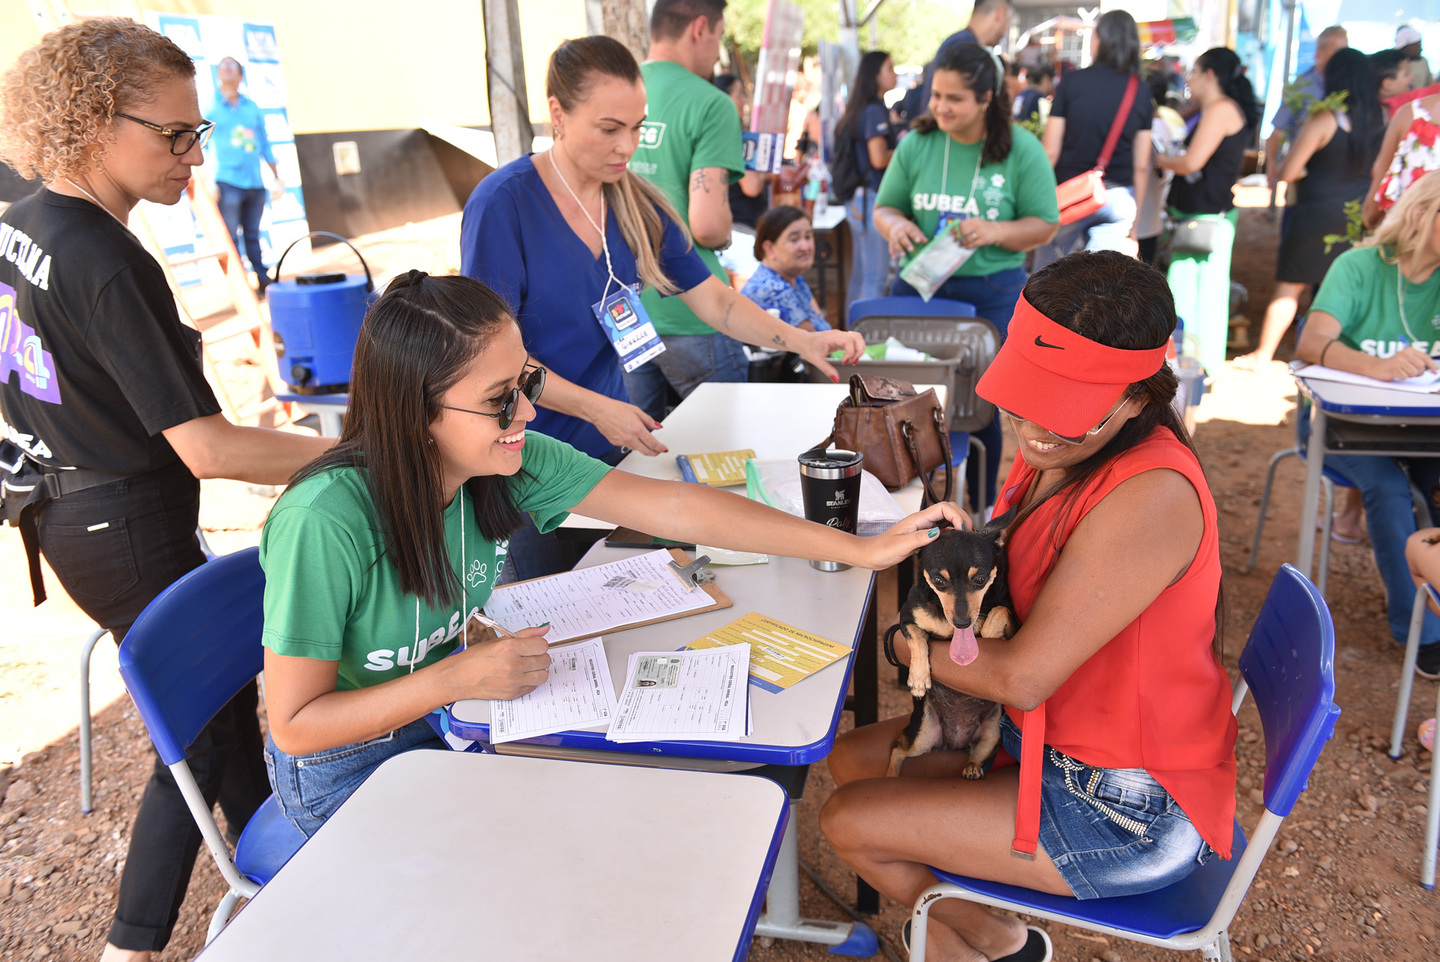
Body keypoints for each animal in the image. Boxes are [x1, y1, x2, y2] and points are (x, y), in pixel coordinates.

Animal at [881, 509, 1019, 783]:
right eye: (938, 580)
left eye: (980, 579)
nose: (962, 622)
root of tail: (953, 741)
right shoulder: (906, 619)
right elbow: (918, 639)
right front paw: (918, 678)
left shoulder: (1012, 618)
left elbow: (998, 612)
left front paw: (989, 632)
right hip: (922, 736)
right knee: (897, 747)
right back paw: (890, 776)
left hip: (992, 734)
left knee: (976, 754)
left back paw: (972, 767)